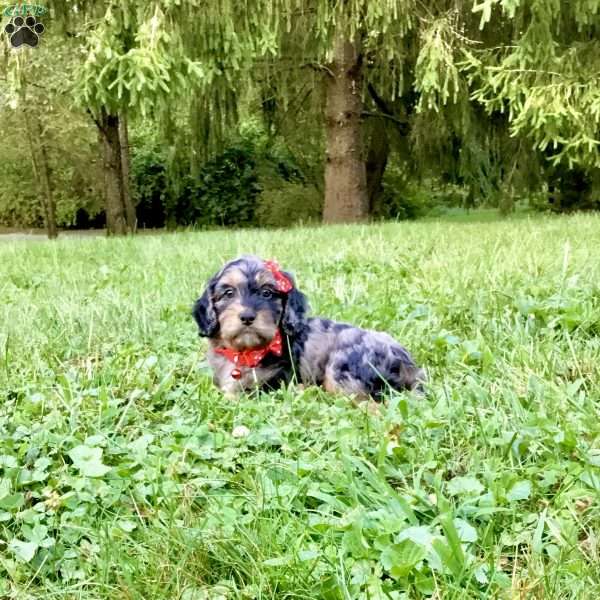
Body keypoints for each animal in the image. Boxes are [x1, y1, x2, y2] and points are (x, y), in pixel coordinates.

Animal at [191, 254, 422, 398]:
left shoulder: (276, 380)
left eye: (267, 293)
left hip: (342, 368)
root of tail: (409, 364)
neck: (245, 353)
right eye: (228, 293)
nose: (247, 316)